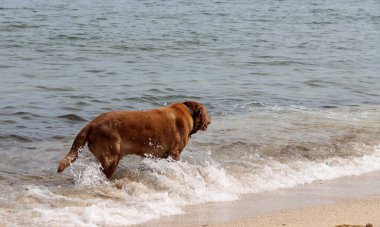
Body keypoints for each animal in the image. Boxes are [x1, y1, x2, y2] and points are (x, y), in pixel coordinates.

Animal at [56, 100, 211, 178]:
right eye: (208, 113)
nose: (210, 120)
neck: (189, 112)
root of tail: (91, 124)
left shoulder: (159, 155)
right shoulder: (175, 154)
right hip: (112, 157)